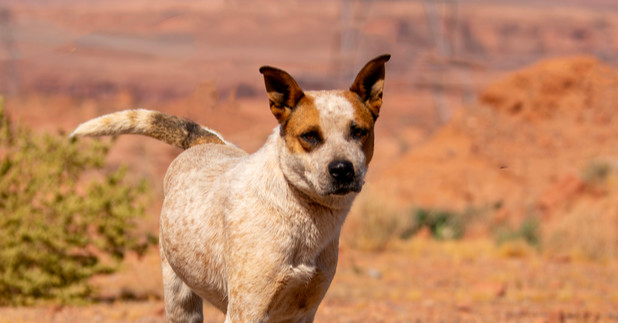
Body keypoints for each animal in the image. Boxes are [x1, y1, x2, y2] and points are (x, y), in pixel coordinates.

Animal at [72, 54, 390, 322]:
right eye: (310, 136)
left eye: (359, 132)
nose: (342, 169)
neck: (300, 208)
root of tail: (208, 142)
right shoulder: (247, 309)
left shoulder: (304, 310)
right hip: (179, 298)